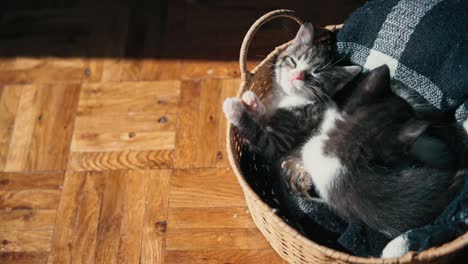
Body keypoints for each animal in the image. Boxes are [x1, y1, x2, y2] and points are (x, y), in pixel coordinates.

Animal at [223, 23, 362, 161]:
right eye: (293, 61)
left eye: (314, 75)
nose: (297, 75)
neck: (285, 97)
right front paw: (253, 104)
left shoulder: (279, 144)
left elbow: (260, 139)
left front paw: (237, 110)